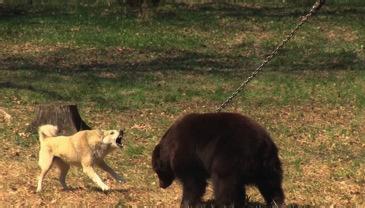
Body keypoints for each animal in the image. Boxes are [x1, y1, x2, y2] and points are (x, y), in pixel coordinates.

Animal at [151, 113, 284, 207]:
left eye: (157, 170)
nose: (161, 185)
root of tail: (262, 144)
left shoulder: (188, 154)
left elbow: (193, 182)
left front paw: (186, 203)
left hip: (229, 156)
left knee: (224, 183)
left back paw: (222, 204)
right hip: (268, 165)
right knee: (271, 184)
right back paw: (276, 203)